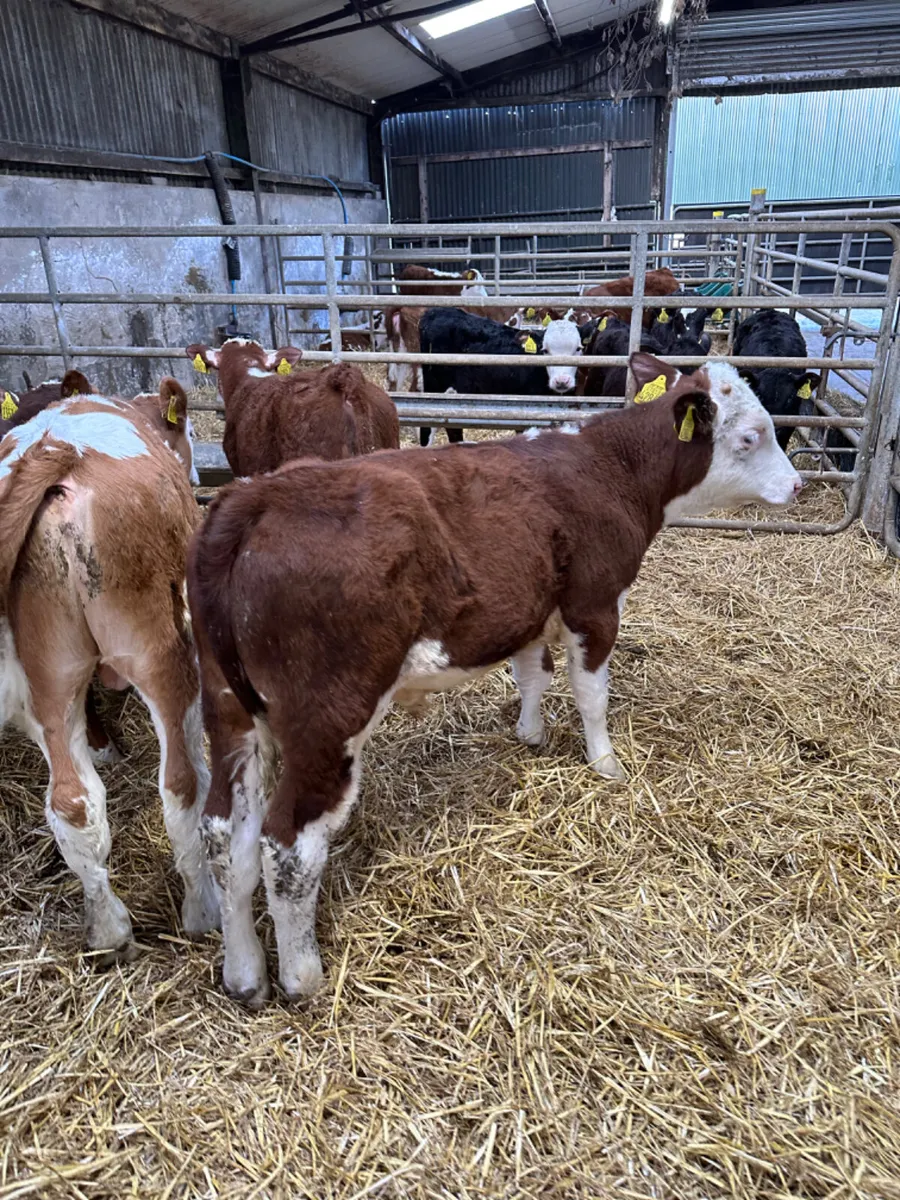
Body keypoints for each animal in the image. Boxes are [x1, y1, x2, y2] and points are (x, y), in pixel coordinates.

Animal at [0, 391, 219, 963]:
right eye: (188, 434)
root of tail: (57, 452)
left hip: (50, 676)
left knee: (72, 802)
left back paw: (108, 931)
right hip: (158, 651)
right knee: (182, 785)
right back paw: (203, 910)